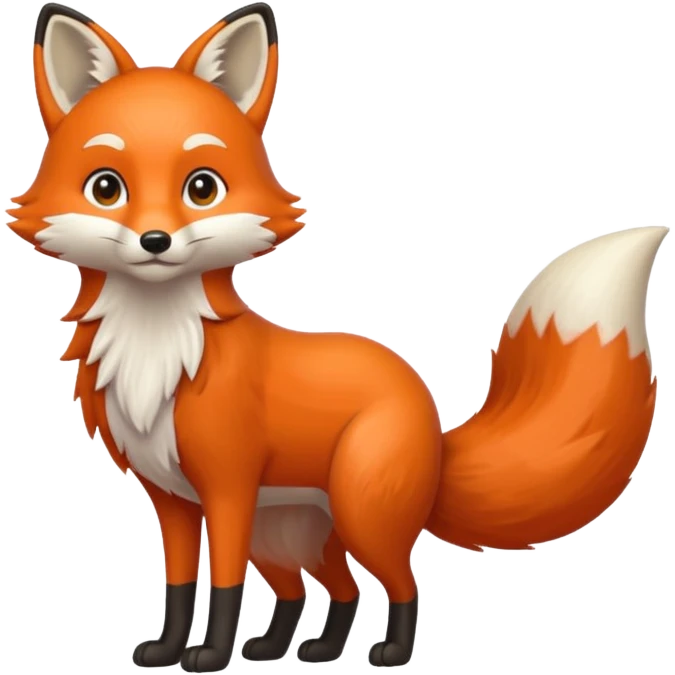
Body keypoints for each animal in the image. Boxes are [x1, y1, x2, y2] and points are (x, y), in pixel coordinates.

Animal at [4, 1, 667, 672]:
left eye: (202, 187)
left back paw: (390, 651)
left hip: (357, 513)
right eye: (106, 187)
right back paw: (295, 647)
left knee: (401, 582)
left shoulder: (228, 489)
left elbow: (223, 585)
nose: (156, 241)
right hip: (287, 534)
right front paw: (167, 649)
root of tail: (432, 423)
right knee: (324, 590)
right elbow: (179, 584)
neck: (161, 350)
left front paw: (209, 655)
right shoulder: (173, 500)